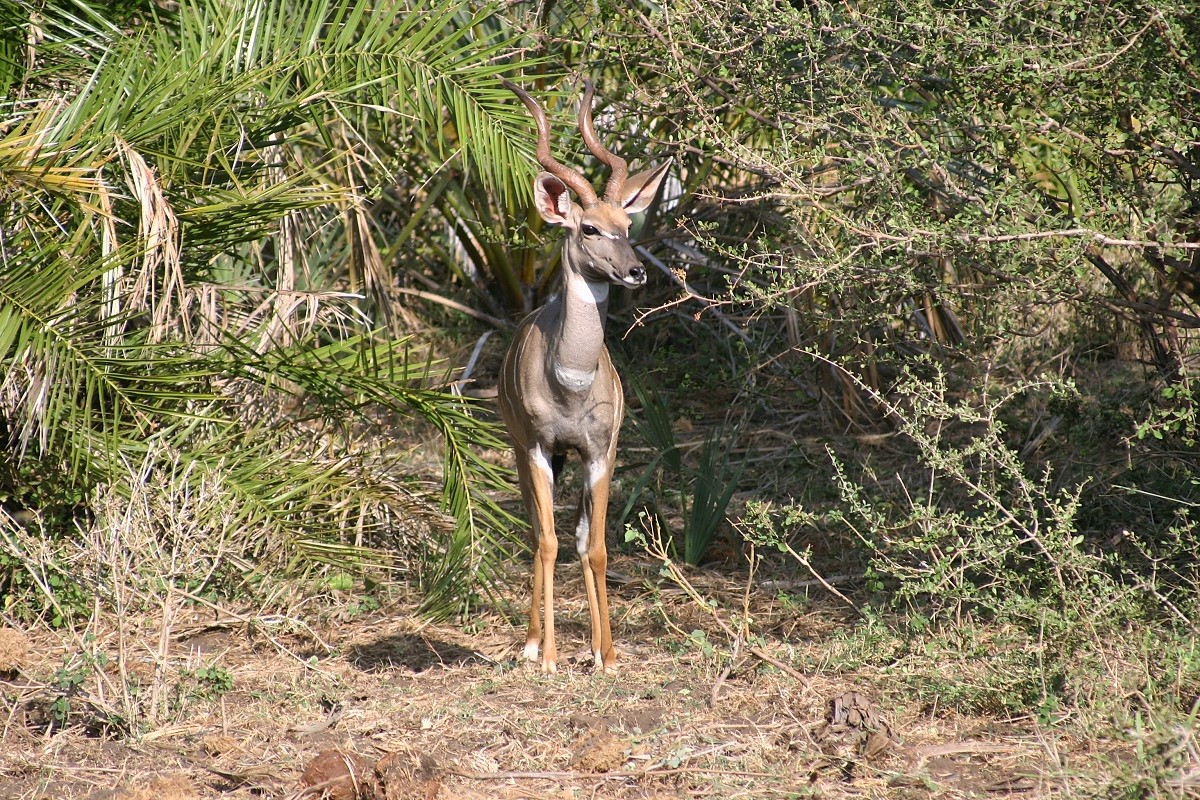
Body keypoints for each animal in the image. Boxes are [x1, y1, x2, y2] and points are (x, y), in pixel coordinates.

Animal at [498, 79, 669, 674]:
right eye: (589, 227)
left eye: (627, 226)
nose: (636, 271)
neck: (569, 379)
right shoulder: (537, 445)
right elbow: (547, 540)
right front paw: (548, 656)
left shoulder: (601, 450)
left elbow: (593, 546)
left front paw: (609, 655)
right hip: (526, 449)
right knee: (537, 531)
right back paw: (531, 643)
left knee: (573, 537)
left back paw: (591, 646)